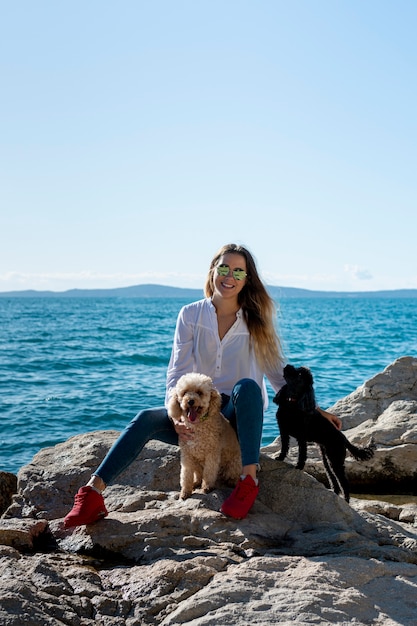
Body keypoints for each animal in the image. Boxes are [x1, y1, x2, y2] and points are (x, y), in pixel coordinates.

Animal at [272, 364, 374, 500]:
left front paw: (299, 467)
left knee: (344, 483)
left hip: (335, 458)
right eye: (298, 368)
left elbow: (302, 454)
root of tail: (343, 438)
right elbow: (284, 446)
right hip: (326, 457)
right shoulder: (283, 430)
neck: (292, 403)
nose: (288, 365)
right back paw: (335, 493)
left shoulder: (301, 437)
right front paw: (280, 458)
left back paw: (346, 501)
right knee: (333, 479)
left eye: (299, 375)